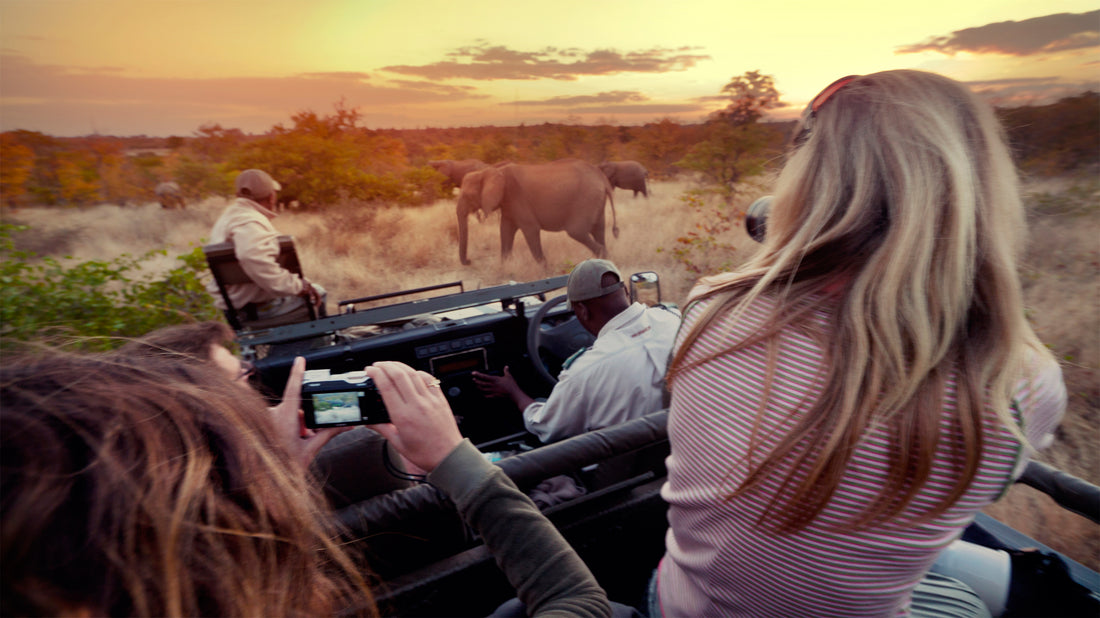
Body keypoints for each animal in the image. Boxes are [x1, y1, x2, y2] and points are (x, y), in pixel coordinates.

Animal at [451, 156, 616, 265]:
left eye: (468, 196)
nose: (469, 261)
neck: (492, 171)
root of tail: (601, 177)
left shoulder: (517, 197)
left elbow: (531, 230)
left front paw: (545, 270)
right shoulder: (509, 203)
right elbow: (505, 231)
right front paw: (505, 267)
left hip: (586, 199)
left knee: (577, 231)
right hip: (595, 200)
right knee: (598, 230)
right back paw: (607, 261)